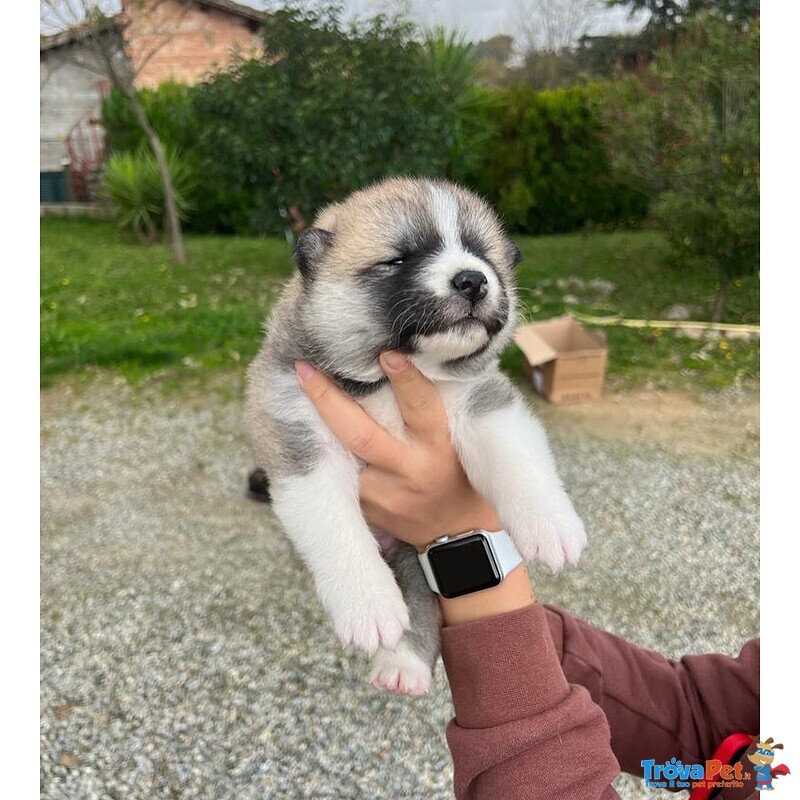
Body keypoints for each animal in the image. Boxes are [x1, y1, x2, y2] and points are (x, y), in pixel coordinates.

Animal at [245, 177, 588, 692]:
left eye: (480, 254)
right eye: (398, 259)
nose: (473, 279)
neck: (392, 376)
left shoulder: (484, 402)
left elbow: (517, 460)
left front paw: (552, 527)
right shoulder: (301, 436)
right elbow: (334, 525)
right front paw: (367, 604)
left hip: (413, 551)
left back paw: (403, 663)